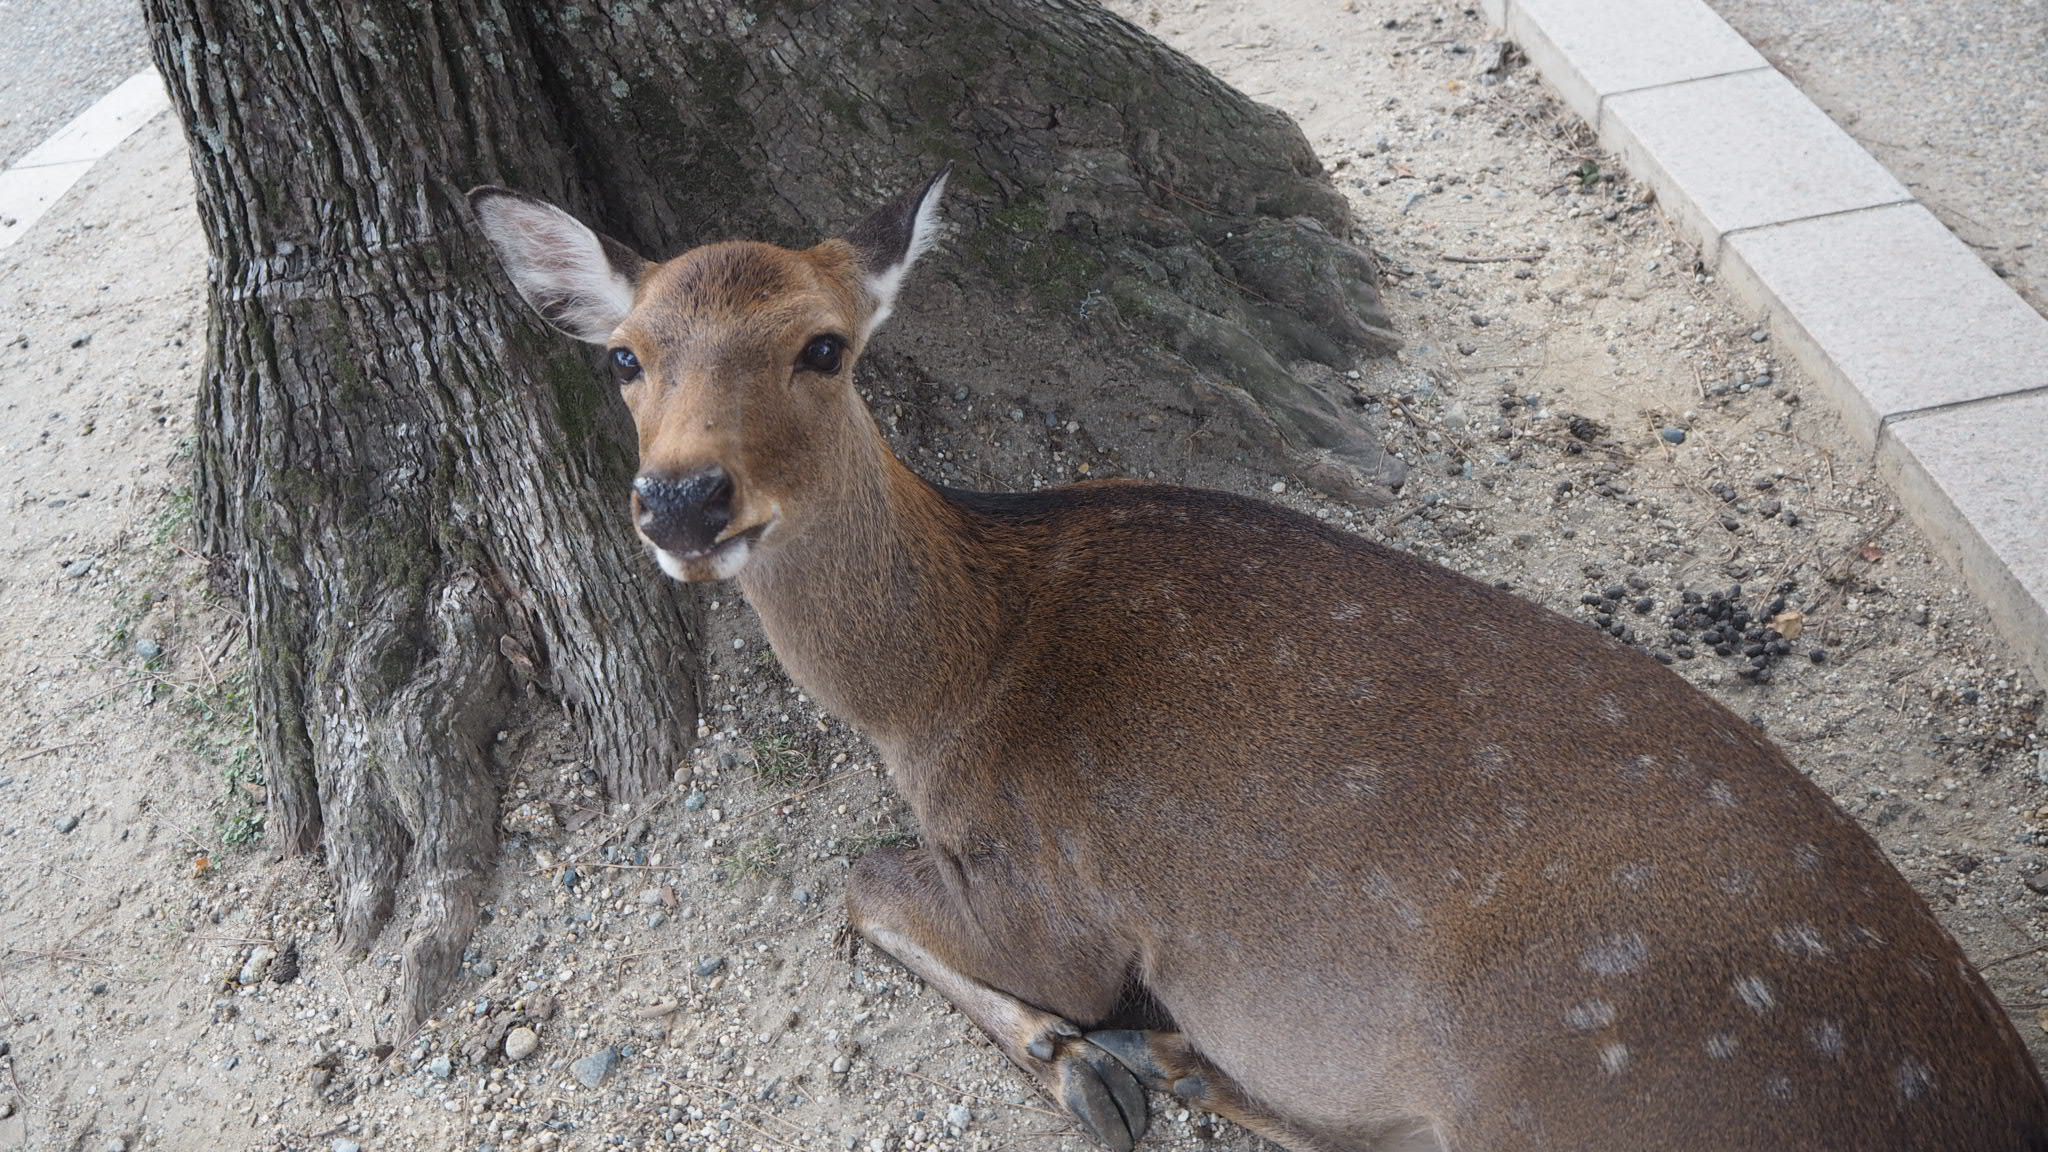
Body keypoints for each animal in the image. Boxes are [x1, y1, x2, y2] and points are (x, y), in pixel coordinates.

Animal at [470, 169, 2048, 1152]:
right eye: (624, 356)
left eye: (822, 347)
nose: (684, 500)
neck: (944, 690)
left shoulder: (1061, 890)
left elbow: (859, 882)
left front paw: (1073, 1057)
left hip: (1567, 1080)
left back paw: (1161, 1059)